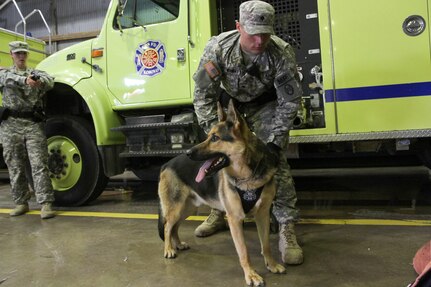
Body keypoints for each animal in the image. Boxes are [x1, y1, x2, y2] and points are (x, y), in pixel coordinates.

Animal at [159, 100, 286, 286]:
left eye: (215, 138)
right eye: (208, 136)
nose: (188, 153)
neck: (247, 176)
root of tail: (166, 164)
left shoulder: (262, 215)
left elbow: (266, 245)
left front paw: (272, 264)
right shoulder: (235, 219)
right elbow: (244, 251)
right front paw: (251, 274)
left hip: (187, 209)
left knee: (174, 227)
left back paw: (178, 244)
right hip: (175, 208)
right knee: (168, 226)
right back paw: (168, 249)